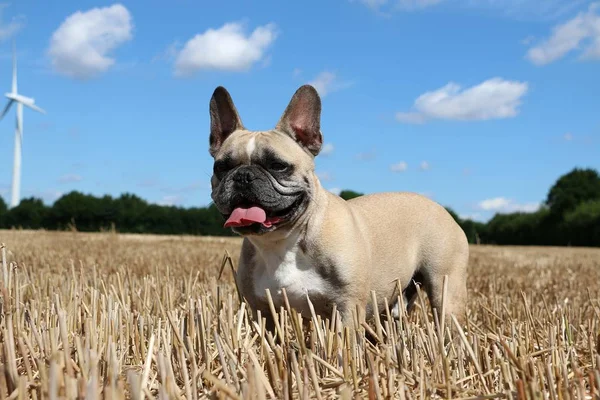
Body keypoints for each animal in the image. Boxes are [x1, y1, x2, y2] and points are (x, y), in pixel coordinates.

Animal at [209, 83, 472, 332]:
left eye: (277, 165)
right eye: (221, 167)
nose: (243, 176)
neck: (282, 241)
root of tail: (440, 208)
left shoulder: (347, 308)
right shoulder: (263, 310)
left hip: (445, 287)